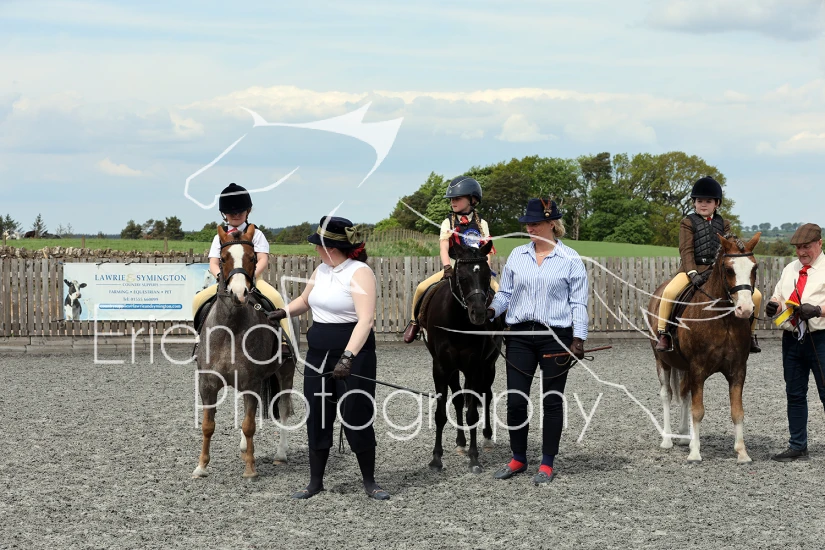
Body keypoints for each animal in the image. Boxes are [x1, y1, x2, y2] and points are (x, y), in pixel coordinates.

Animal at [192, 224, 296, 478]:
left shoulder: (252, 382)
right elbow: (208, 425)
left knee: (284, 408)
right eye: (223, 258)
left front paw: (250, 468)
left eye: (253, 257)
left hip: (285, 372)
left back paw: (280, 454)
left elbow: (249, 425)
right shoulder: (208, 384)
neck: (230, 328)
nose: (239, 293)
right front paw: (201, 467)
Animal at [421, 241, 503, 473]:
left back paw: (486, 438)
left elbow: (473, 413)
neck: (457, 320)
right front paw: (436, 459)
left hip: (489, 365)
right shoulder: (441, 367)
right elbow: (441, 413)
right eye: (463, 277)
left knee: (486, 396)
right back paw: (460, 442)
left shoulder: (474, 366)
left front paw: (474, 459)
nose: (479, 314)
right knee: (458, 399)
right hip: (455, 369)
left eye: (486, 275)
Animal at [647, 232, 761, 464]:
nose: (745, 309)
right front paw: (695, 453)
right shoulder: (698, 369)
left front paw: (742, 452)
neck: (722, 319)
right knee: (667, 395)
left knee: (684, 394)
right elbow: (698, 410)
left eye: (754, 268)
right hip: (662, 361)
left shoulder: (738, 370)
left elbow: (737, 411)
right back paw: (667, 439)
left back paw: (685, 436)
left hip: (683, 367)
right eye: (729, 269)